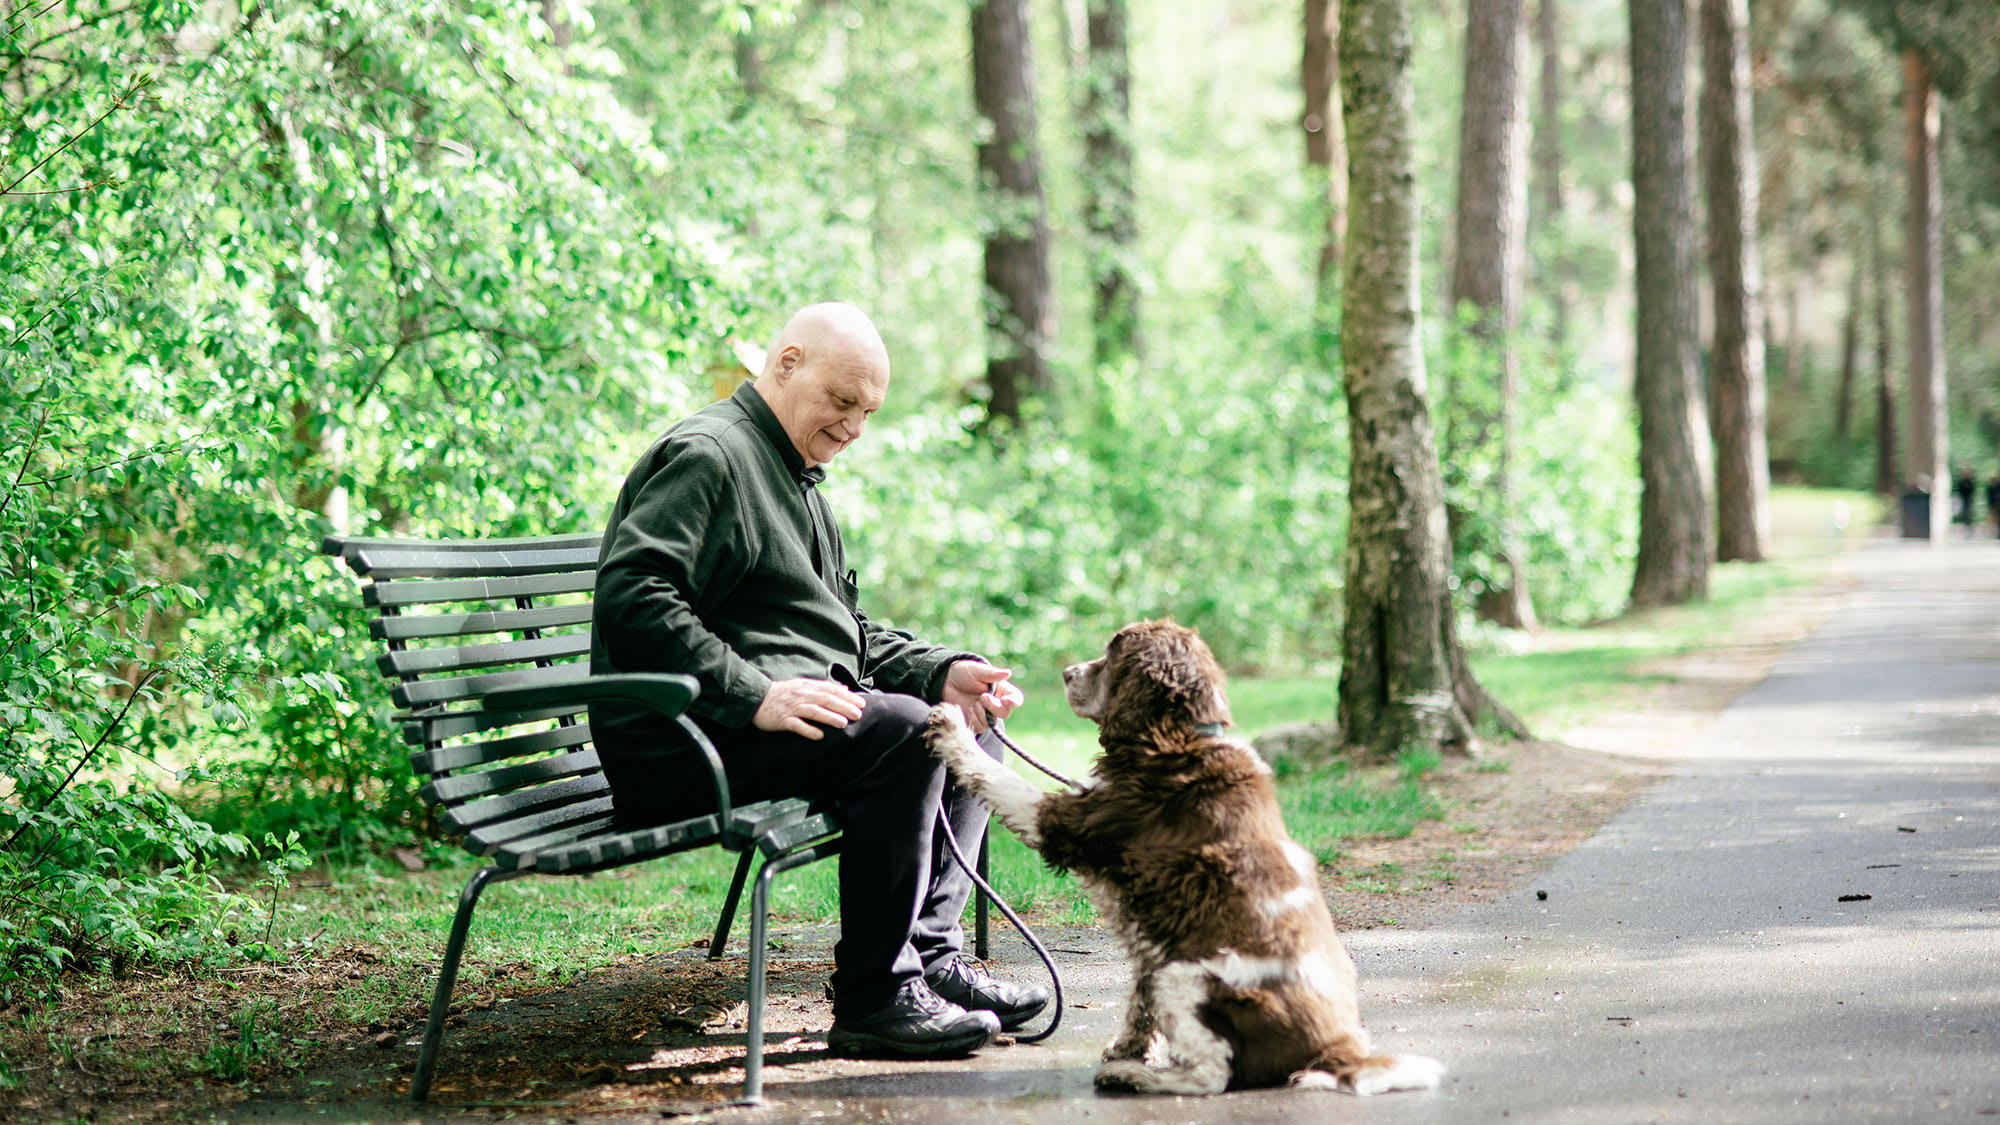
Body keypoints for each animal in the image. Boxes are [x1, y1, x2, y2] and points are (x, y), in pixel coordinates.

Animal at [920, 616, 1440, 1088]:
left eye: (1112, 654)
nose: (1067, 672)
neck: (1178, 738)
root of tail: (1337, 1049)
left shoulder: (1068, 821)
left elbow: (996, 776)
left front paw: (951, 722)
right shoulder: (1155, 932)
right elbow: (1140, 999)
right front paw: (1126, 1047)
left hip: (1189, 974)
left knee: (1214, 1073)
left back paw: (1137, 1079)